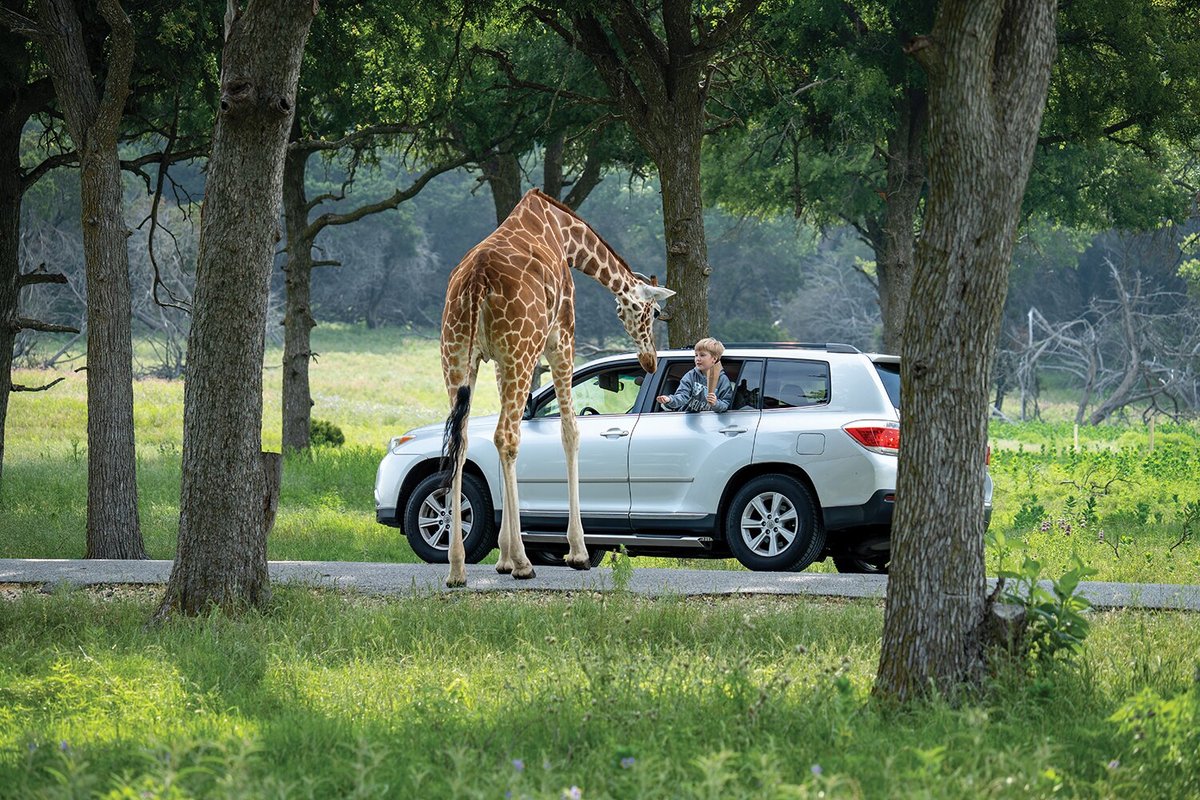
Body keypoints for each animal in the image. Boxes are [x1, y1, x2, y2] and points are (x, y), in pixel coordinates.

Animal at [439, 188, 672, 587]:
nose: (649, 361)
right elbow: (570, 432)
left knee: (463, 440)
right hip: (522, 348)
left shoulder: (499, 360)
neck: (565, 233)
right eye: (653, 313)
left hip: (456, 356)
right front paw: (576, 552)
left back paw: (457, 568)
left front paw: (502, 559)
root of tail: (476, 281)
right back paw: (523, 564)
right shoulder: (561, 338)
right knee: (505, 435)